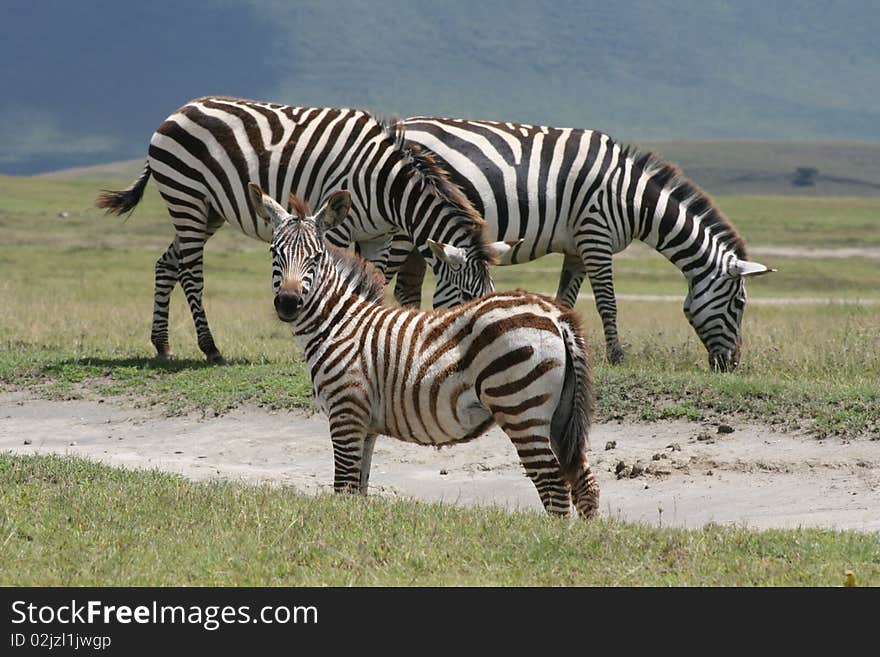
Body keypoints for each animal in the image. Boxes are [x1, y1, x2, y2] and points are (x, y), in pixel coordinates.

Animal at [96, 97, 512, 364]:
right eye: (465, 297)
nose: (486, 349)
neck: (388, 187)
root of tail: (177, 111)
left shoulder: (378, 236)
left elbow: (375, 285)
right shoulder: (341, 230)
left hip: (208, 210)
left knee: (165, 264)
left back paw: (162, 345)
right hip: (188, 199)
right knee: (190, 272)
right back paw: (210, 348)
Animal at [251, 181, 600, 516]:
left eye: (316, 257)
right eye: (274, 252)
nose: (288, 303)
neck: (339, 324)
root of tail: (555, 314)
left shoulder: (346, 411)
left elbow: (344, 488)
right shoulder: (365, 424)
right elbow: (359, 489)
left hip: (520, 406)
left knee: (554, 486)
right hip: (558, 412)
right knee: (584, 481)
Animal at [382, 116, 772, 368]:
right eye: (739, 303)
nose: (732, 365)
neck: (630, 198)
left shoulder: (577, 250)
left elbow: (565, 301)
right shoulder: (595, 235)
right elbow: (608, 303)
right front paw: (617, 357)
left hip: (425, 238)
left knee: (406, 288)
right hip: (405, 227)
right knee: (384, 276)